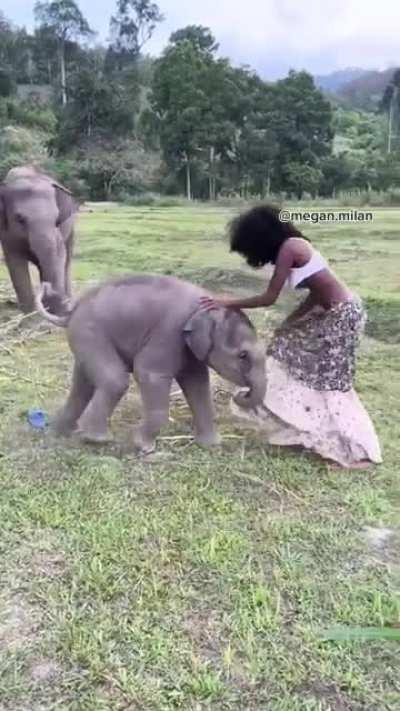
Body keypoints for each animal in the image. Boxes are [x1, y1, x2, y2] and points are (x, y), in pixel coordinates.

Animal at [0, 165, 78, 313]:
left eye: (57, 219)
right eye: (20, 219)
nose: (64, 310)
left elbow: (60, 254)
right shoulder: (6, 233)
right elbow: (15, 262)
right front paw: (29, 313)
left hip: (72, 230)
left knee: (67, 260)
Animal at [35, 274, 266, 454]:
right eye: (243, 355)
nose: (242, 393)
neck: (207, 306)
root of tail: (71, 312)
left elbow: (198, 384)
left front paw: (211, 445)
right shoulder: (169, 332)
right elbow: (149, 373)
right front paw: (142, 446)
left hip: (85, 337)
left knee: (83, 384)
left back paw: (61, 432)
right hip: (90, 332)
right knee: (114, 380)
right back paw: (96, 439)